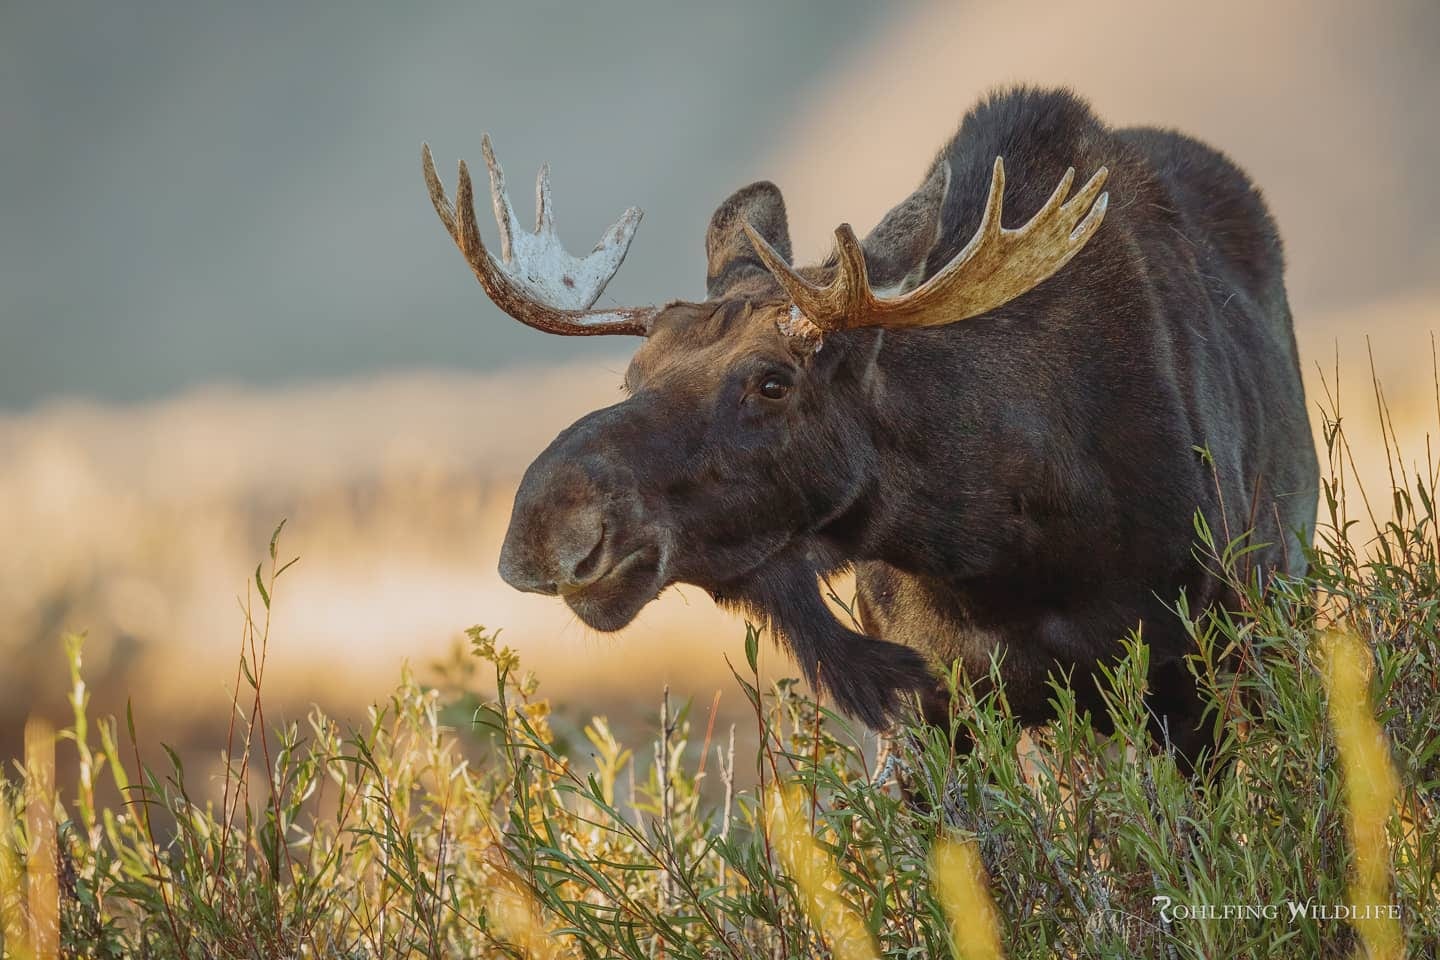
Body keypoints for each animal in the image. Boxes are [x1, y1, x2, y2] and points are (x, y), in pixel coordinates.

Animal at [420, 86, 1318, 773]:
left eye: (773, 381)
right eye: (634, 375)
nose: (546, 527)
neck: (994, 543)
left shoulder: (1189, 681)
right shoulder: (931, 714)